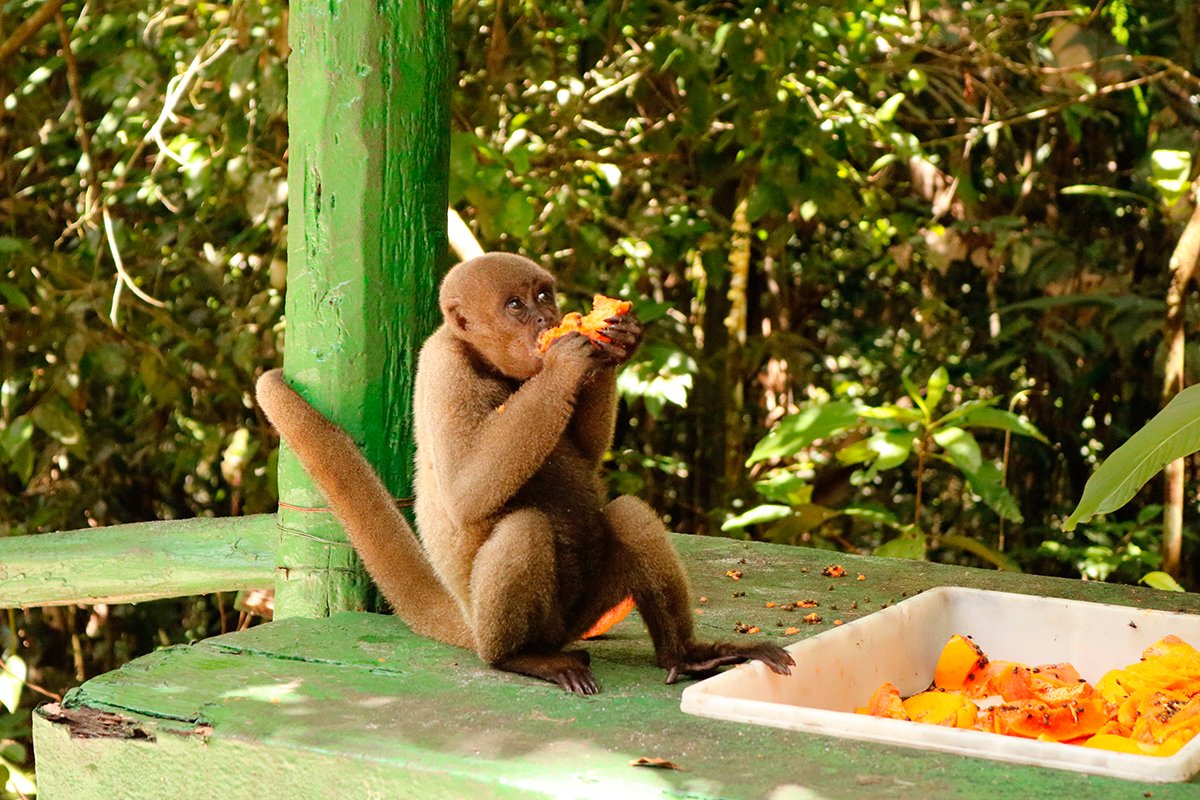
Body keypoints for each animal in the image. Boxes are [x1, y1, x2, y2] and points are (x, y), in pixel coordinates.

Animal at [256, 252, 794, 694]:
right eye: (515, 304)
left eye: (543, 295)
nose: (546, 318)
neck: (491, 364)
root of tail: (470, 622)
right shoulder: (444, 369)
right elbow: (465, 492)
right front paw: (565, 361)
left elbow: (587, 455)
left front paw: (618, 341)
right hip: (517, 620)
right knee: (524, 530)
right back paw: (520, 658)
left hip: (584, 613)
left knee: (630, 515)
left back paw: (687, 655)